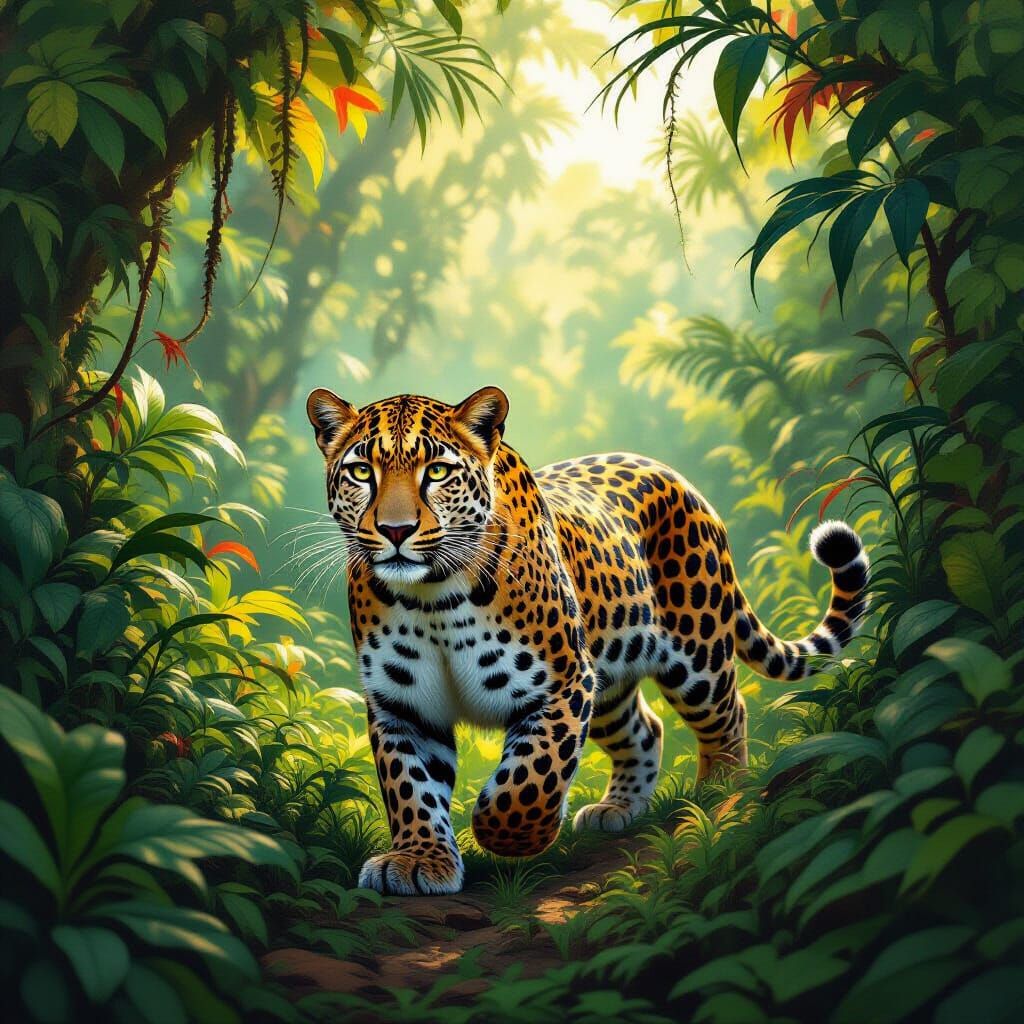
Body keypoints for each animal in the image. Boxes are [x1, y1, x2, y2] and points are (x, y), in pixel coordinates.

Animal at [306, 385, 870, 896]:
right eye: (362, 472)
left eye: (438, 472)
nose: (395, 530)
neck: (432, 597)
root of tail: (681, 481)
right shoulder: (402, 704)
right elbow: (409, 786)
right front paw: (418, 860)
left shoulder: (560, 682)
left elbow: (531, 777)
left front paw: (508, 834)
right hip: (610, 682)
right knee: (645, 729)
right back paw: (617, 808)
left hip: (697, 652)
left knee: (729, 713)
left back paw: (719, 796)